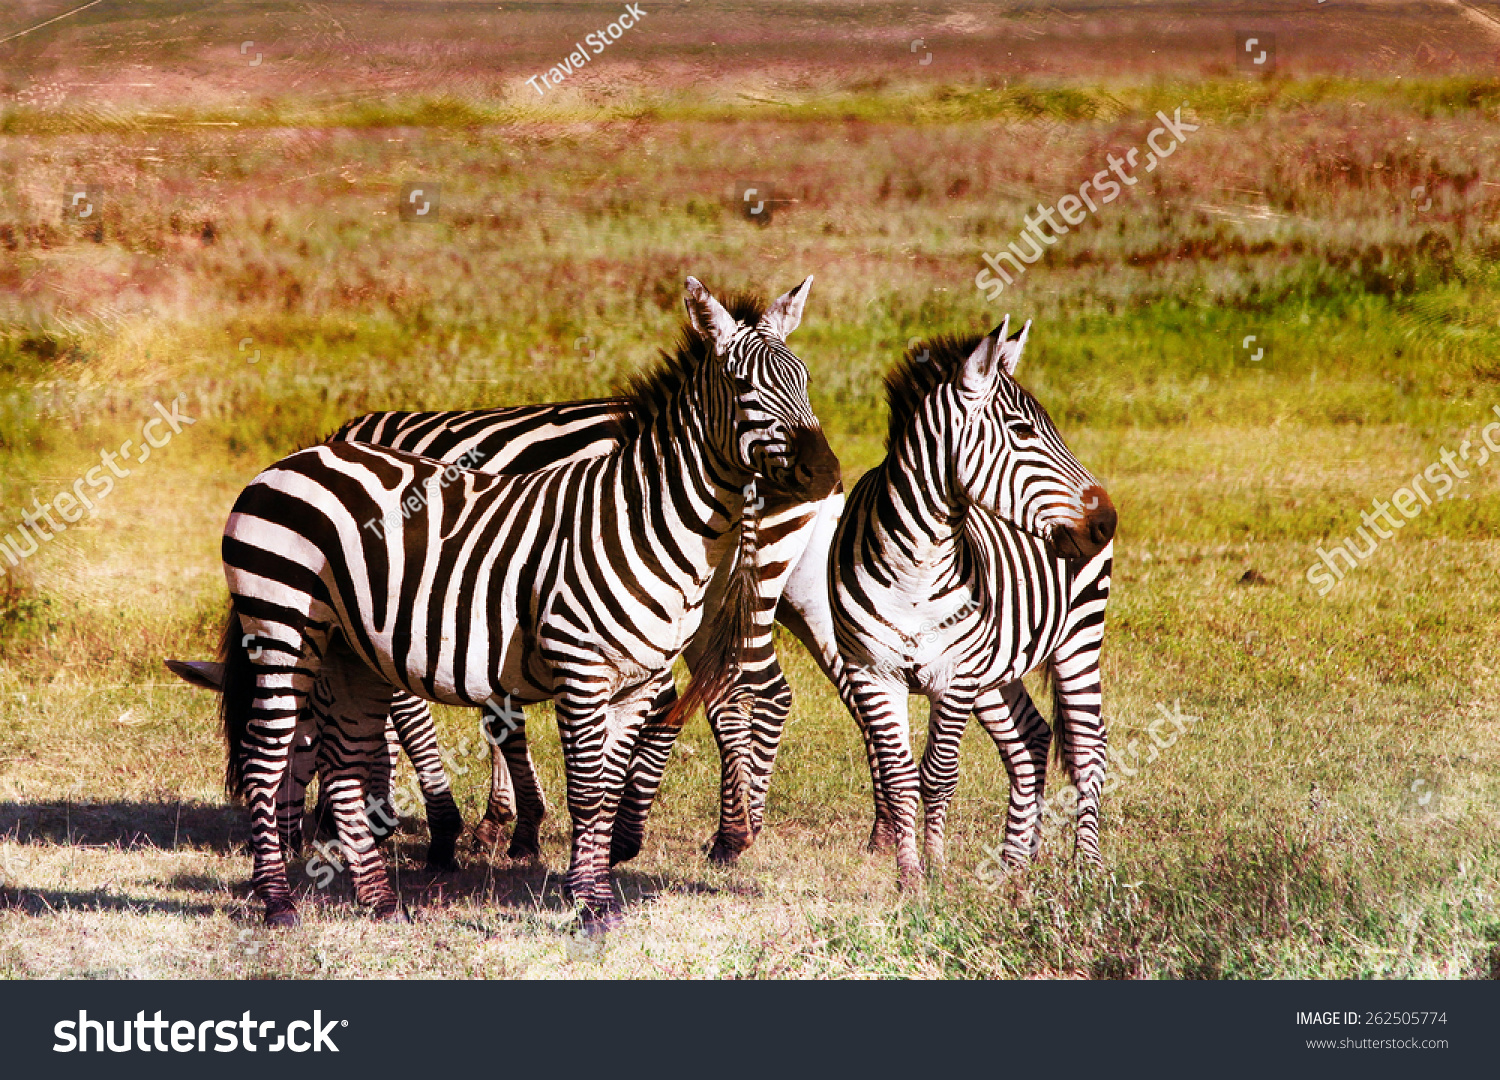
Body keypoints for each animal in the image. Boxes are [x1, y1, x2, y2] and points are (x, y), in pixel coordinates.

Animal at [217, 276, 839, 925]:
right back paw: (278, 902)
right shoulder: (574, 662)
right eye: (744, 387)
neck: (647, 518)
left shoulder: (635, 678)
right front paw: (587, 899)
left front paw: (586, 883)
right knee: (264, 761)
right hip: (284, 629)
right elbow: (583, 786)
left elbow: (599, 788)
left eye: (804, 379)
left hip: (343, 648)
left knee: (341, 763)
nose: (824, 471)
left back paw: (378, 901)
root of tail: (292, 460)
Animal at [829, 318, 1116, 888]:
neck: (914, 570)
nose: (1106, 521)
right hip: (996, 670)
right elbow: (898, 777)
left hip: (1078, 639)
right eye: (1023, 431)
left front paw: (937, 872)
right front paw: (910, 877)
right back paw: (1014, 866)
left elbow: (938, 773)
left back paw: (1086, 869)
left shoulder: (955, 675)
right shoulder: (871, 671)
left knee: (1089, 747)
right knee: (1031, 742)